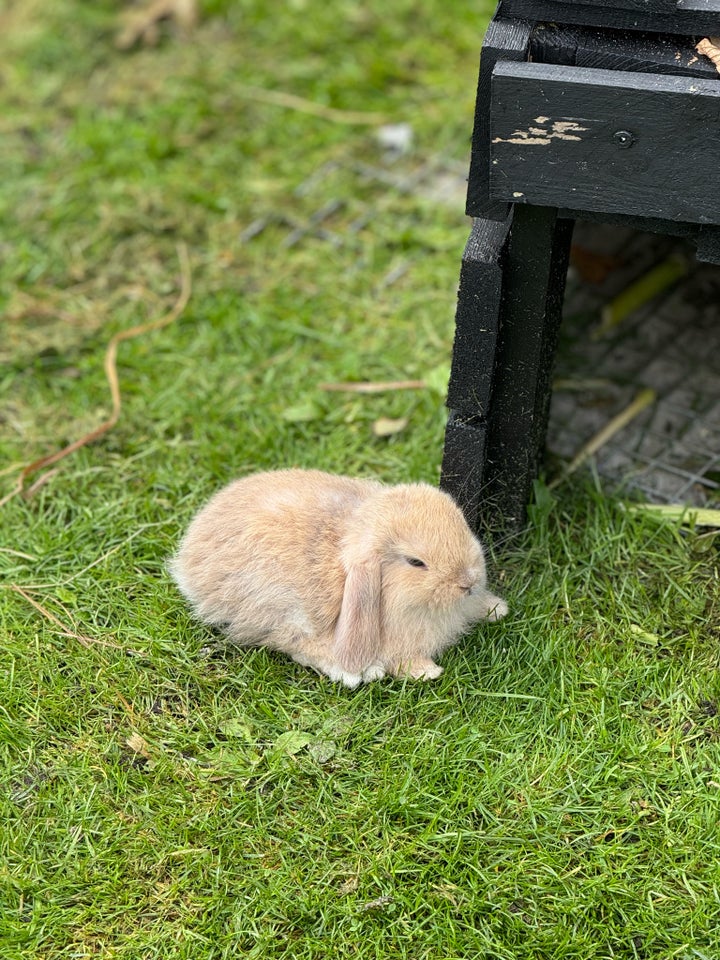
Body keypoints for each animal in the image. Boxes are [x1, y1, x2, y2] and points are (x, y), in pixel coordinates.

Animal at [168, 468, 506, 688]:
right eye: (416, 562)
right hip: (277, 608)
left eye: (462, 526)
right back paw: (359, 672)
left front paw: (496, 609)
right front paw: (427, 671)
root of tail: (188, 554)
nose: (468, 582)